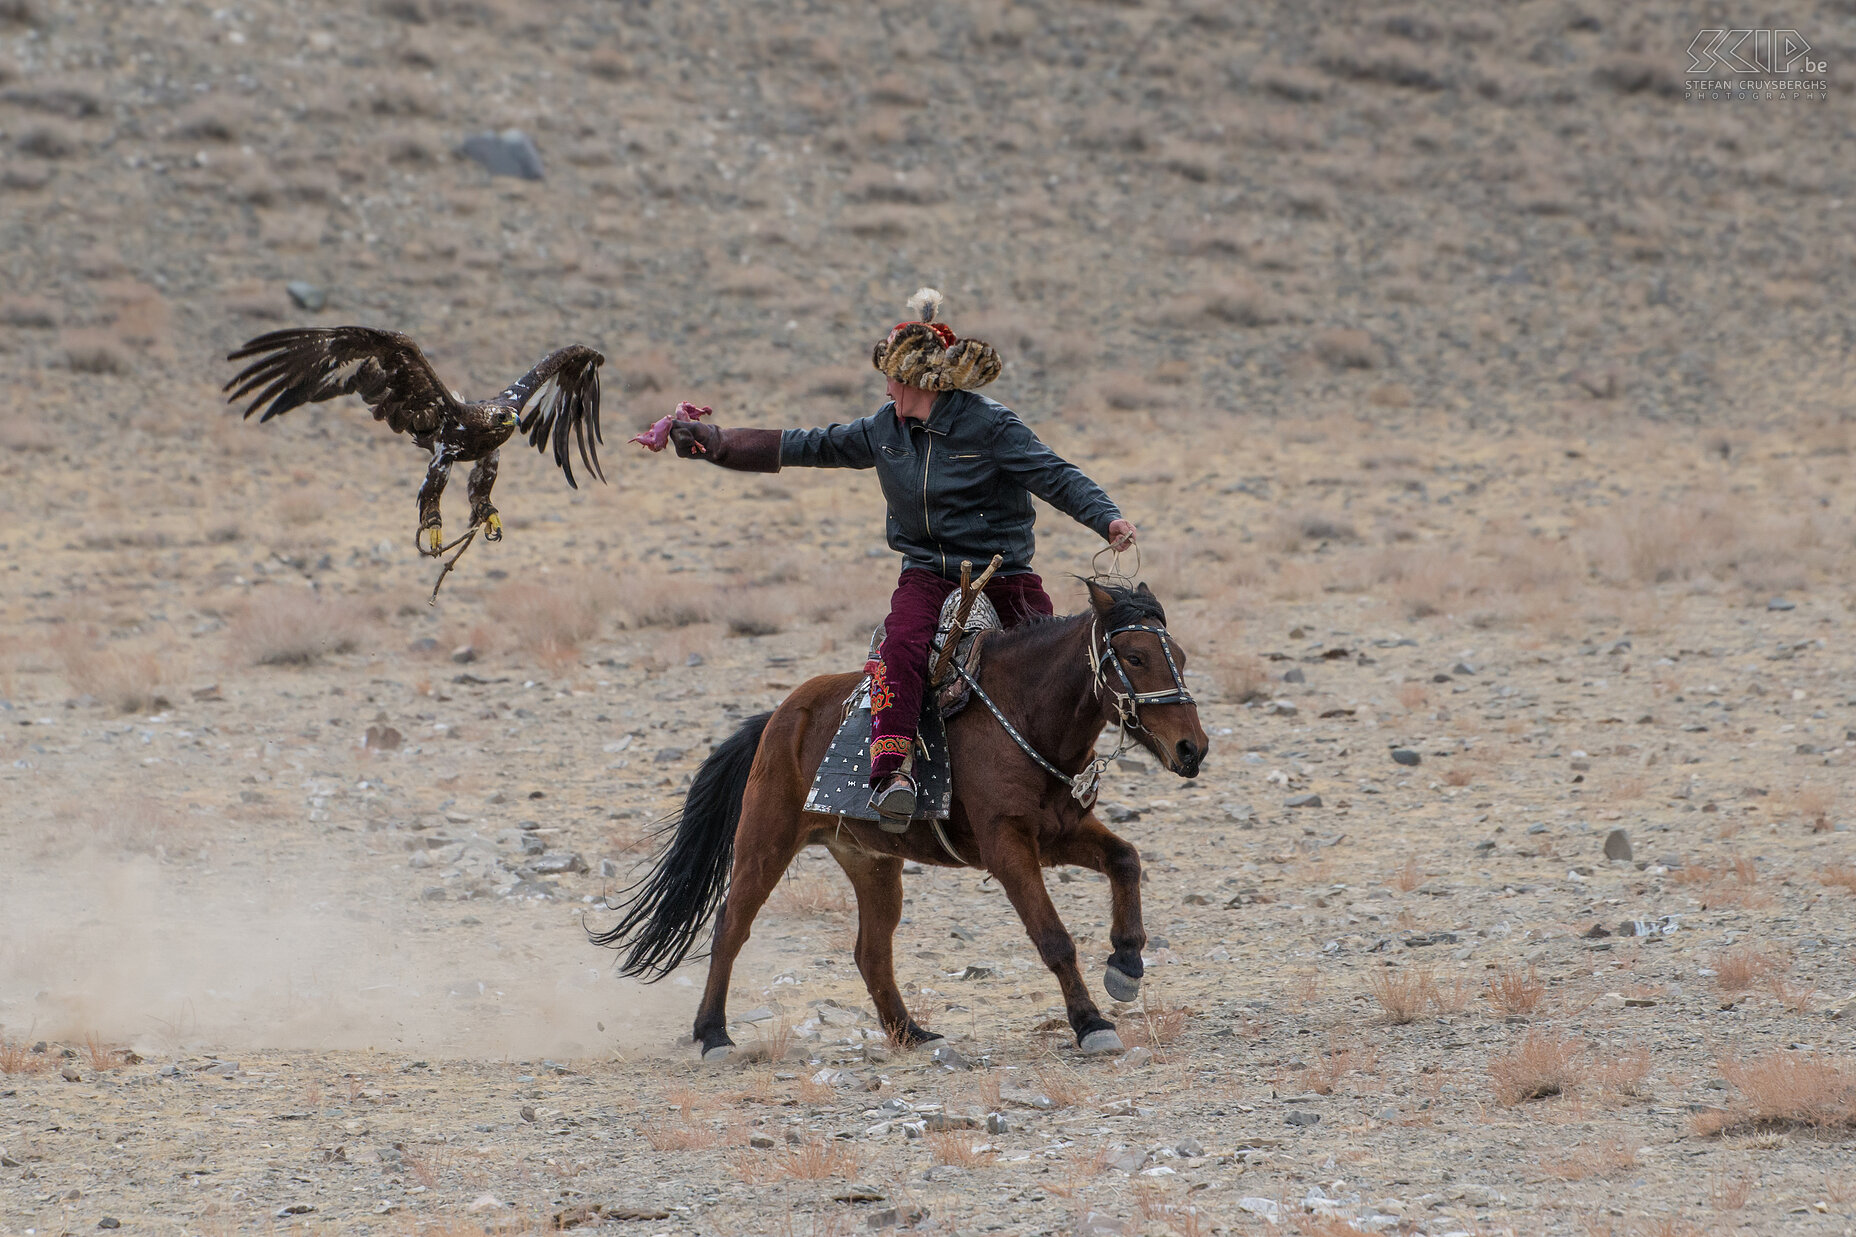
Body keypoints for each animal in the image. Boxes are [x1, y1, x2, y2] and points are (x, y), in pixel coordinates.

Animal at [586, 575, 1210, 1047]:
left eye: (1180, 656)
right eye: (1135, 656)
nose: (1192, 749)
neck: (1024, 717)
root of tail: (777, 719)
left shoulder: (1061, 834)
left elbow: (1126, 860)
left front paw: (1126, 965)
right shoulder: (1007, 847)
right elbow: (1053, 937)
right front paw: (1090, 1024)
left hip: (870, 861)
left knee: (870, 951)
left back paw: (909, 1031)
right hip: (764, 842)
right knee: (731, 926)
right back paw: (713, 1034)